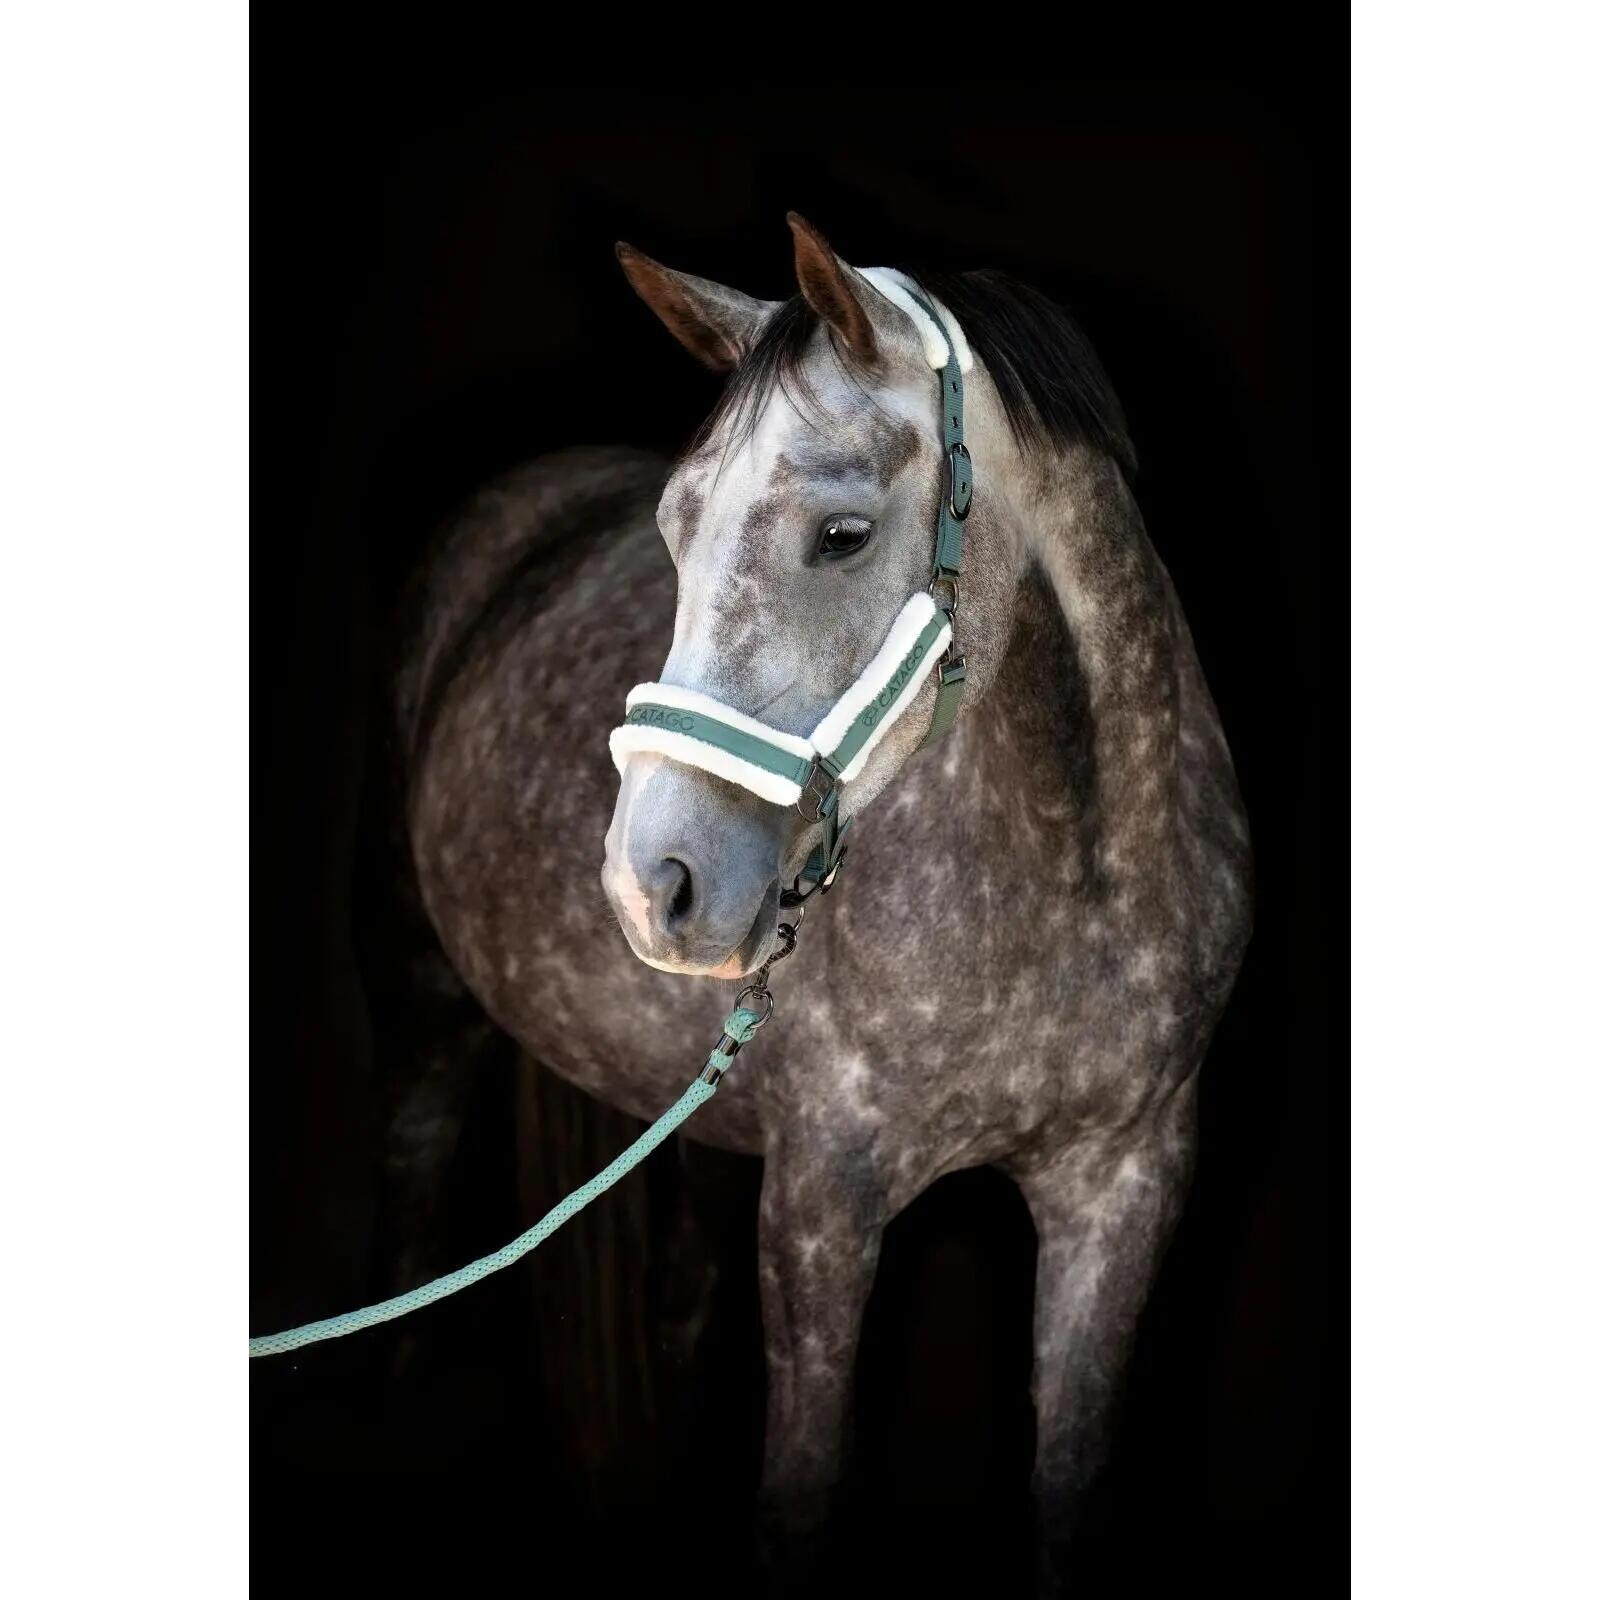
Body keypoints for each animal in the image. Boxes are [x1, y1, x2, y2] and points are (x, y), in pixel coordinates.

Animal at [378, 212, 1252, 1578]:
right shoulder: (820, 1204)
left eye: (839, 534)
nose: (650, 883)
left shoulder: (1127, 1186)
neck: (1076, 885)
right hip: (428, 1009)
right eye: (674, 528)